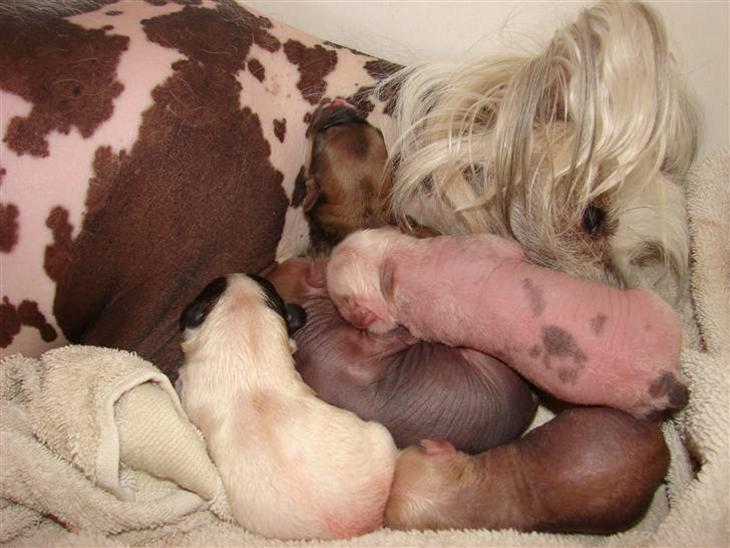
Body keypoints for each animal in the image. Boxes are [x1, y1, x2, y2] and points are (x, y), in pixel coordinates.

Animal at [326, 228, 688, 419]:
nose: (330, 253)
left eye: (340, 299)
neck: (399, 268)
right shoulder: (477, 248)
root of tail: (665, 375)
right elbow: (509, 248)